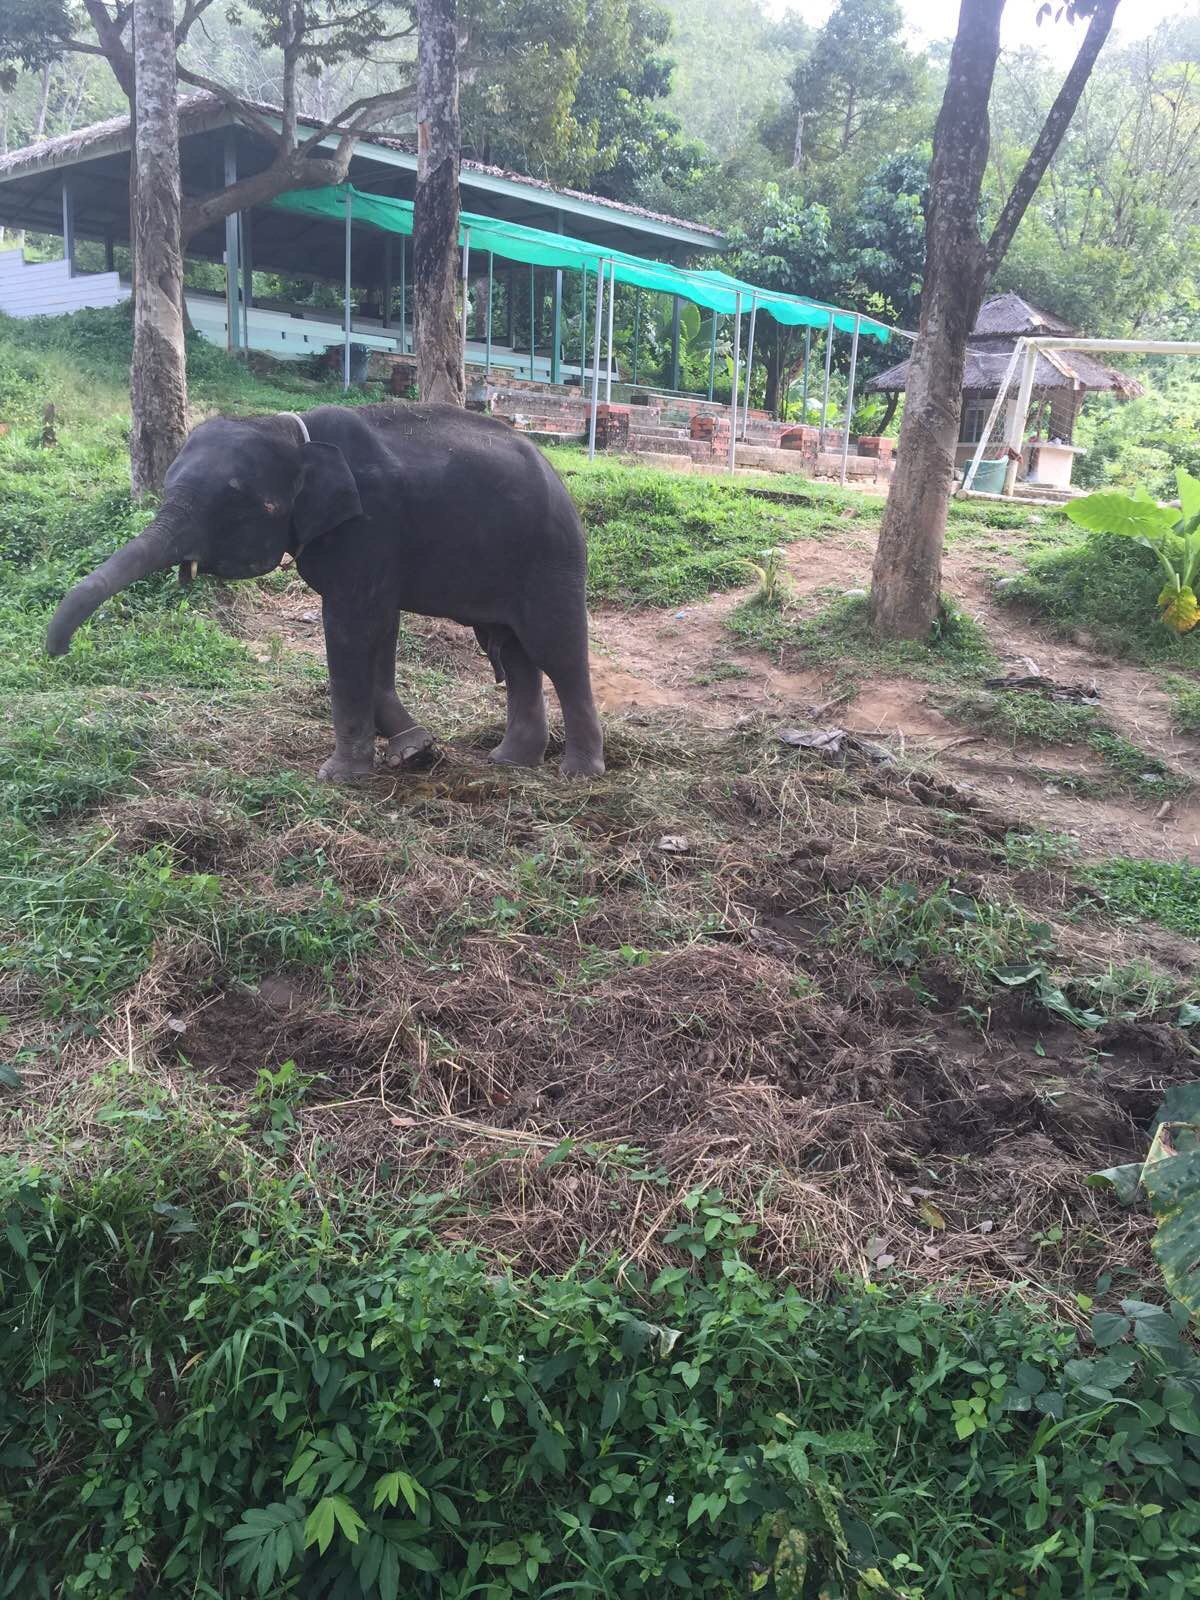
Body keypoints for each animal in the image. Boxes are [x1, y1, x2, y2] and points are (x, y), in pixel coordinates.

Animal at [42, 406, 604, 780]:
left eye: (240, 504)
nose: (57, 651)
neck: (291, 431)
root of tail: (557, 474)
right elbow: (379, 628)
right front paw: (414, 748)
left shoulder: (369, 526)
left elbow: (351, 626)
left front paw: (340, 777)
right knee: (515, 652)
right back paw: (510, 762)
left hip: (551, 555)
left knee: (556, 650)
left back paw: (578, 773)